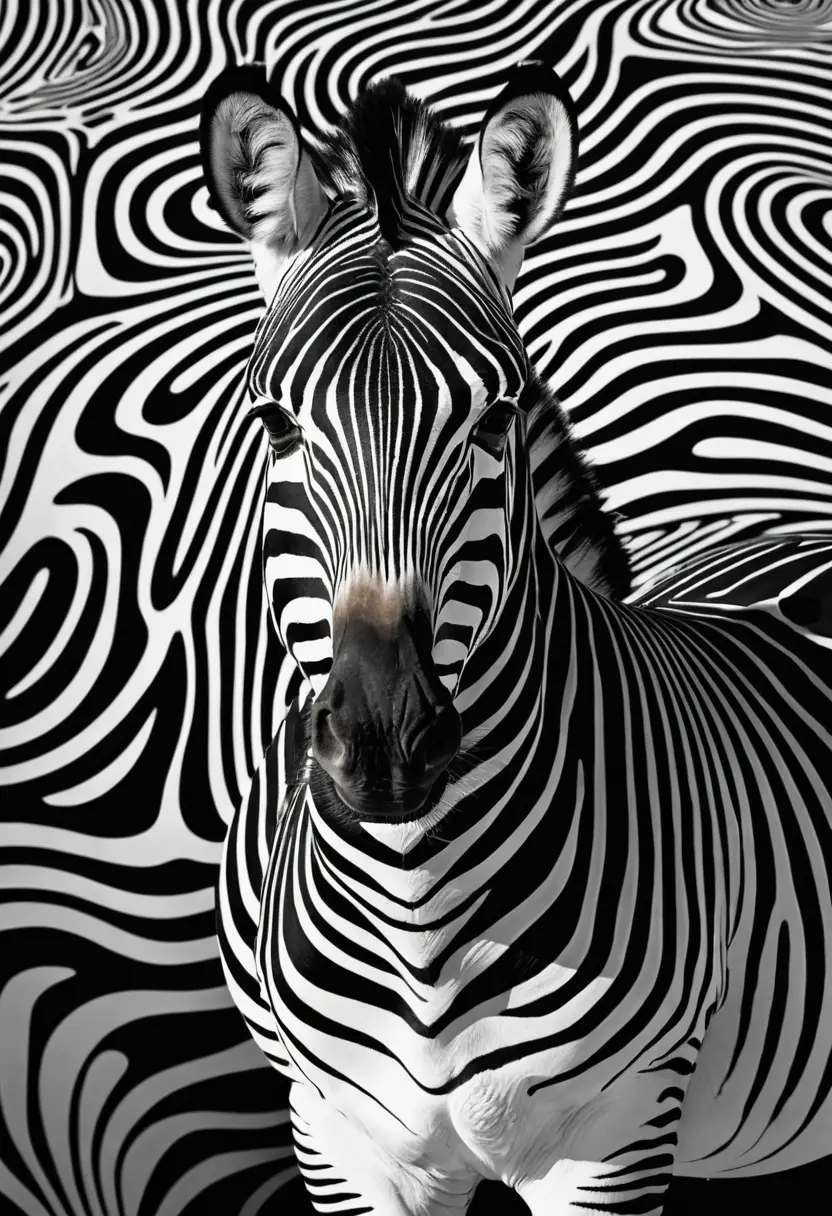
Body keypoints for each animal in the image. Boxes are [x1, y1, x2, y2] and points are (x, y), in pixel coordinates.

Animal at [200, 60, 832, 1213]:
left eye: (494, 420)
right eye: (275, 424)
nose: (383, 745)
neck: (422, 913)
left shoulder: (615, 1137)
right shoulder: (339, 1141)